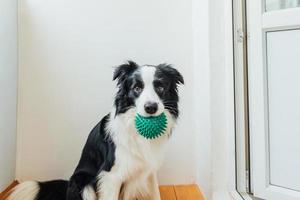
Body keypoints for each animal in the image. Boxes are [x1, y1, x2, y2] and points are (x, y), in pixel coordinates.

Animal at [8, 61, 183, 200]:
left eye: (160, 87)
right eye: (137, 88)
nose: (151, 107)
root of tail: (68, 184)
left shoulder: (148, 171)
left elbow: (156, 194)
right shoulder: (110, 176)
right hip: (83, 183)